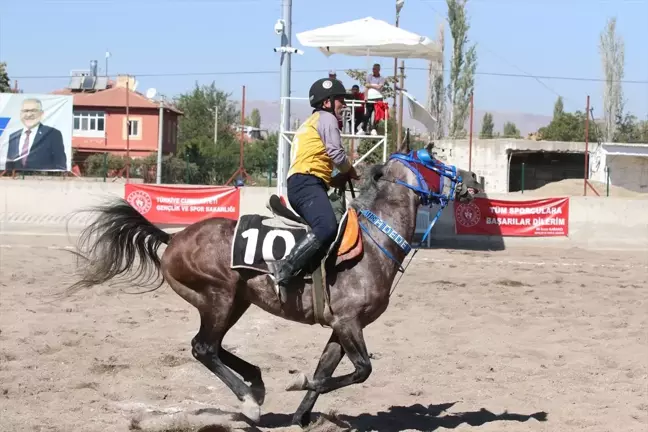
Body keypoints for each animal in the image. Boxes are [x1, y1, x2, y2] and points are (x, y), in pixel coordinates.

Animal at [68, 138, 484, 426]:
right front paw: (298, 384)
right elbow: (361, 371)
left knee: (214, 347)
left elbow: (327, 371)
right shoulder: (348, 322)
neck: (373, 241)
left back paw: (255, 382)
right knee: (204, 348)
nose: (475, 180)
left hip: (235, 301)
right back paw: (249, 401)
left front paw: (301, 414)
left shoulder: (341, 327)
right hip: (218, 297)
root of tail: (172, 239)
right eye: (435, 159)